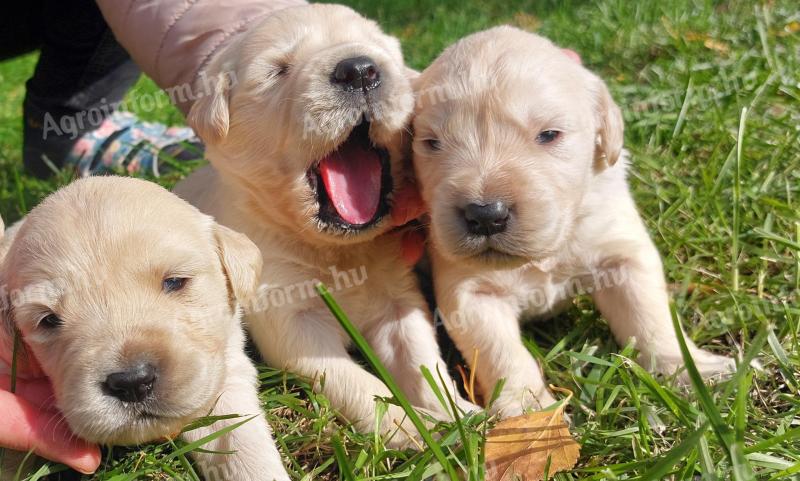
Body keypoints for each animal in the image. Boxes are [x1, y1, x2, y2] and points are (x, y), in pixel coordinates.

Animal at [173, 4, 476, 446]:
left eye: (378, 49)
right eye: (278, 70)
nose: (359, 70)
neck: (336, 249)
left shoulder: (398, 299)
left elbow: (422, 360)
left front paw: (459, 415)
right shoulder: (290, 315)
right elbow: (358, 383)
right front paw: (408, 427)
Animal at [412, 27, 736, 416]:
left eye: (549, 134)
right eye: (431, 143)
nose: (486, 215)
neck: (547, 251)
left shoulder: (621, 252)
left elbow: (650, 316)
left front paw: (690, 369)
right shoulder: (470, 293)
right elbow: (503, 353)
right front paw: (529, 410)